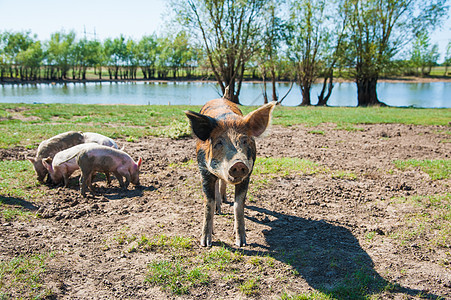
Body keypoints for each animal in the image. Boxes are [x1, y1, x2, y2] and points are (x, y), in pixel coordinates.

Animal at [185, 98, 278, 246]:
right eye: (218, 143)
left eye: (245, 140)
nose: (238, 163)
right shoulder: (204, 171)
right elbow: (208, 204)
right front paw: (205, 243)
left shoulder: (248, 175)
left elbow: (238, 205)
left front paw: (241, 242)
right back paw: (219, 209)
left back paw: (224, 200)